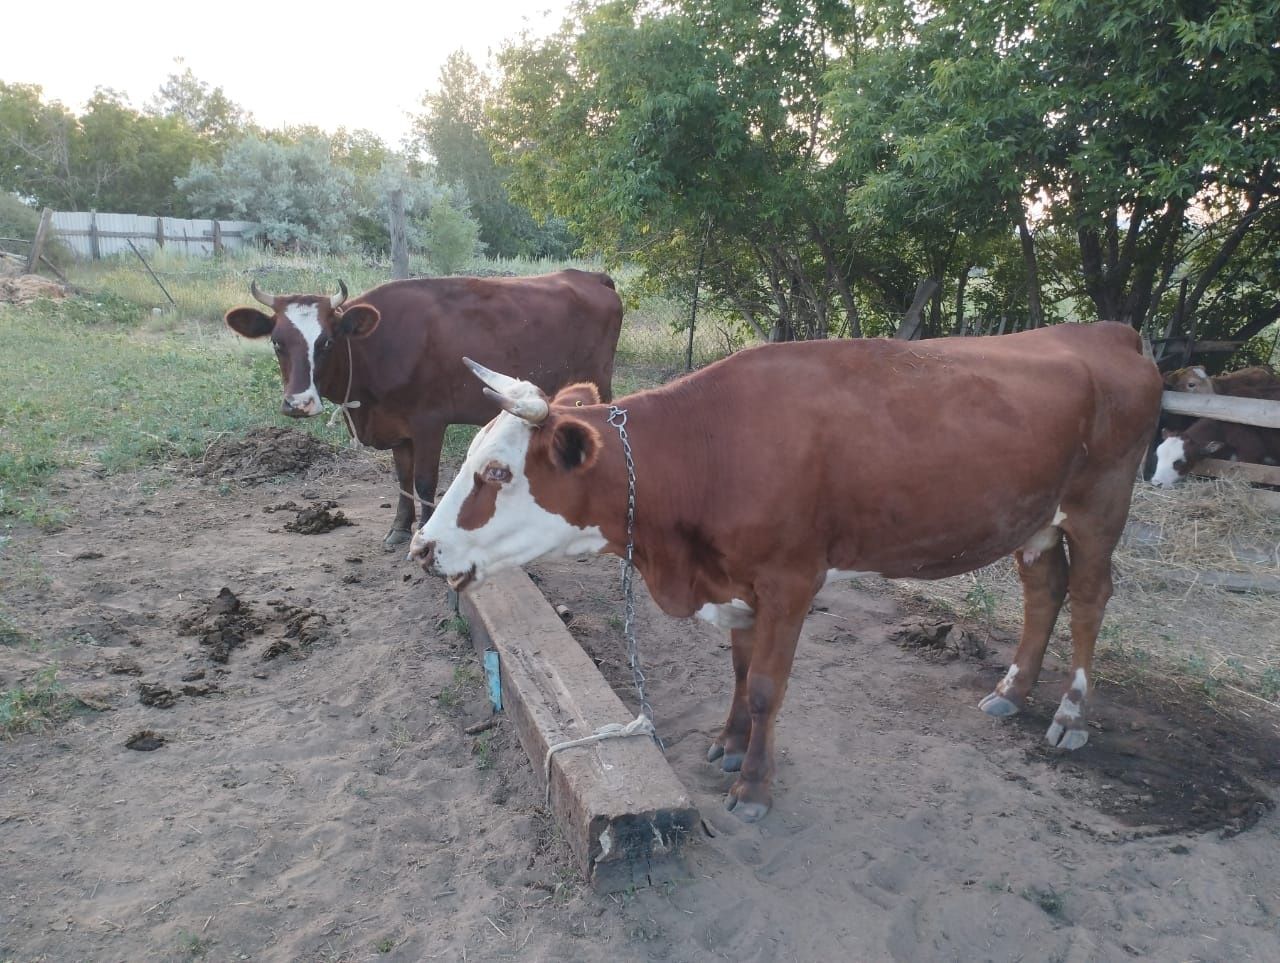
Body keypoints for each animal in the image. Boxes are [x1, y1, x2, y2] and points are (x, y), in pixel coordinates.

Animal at [225, 268, 624, 548]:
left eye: (326, 342)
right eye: (277, 343)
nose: (299, 403)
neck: (377, 348)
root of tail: (588, 276)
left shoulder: (429, 422)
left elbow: (424, 480)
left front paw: (423, 533)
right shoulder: (396, 426)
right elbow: (402, 478)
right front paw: (399, 529)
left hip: (599, 381)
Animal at [407, 321, 1162, 819]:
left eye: (497, 472)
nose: (422, 547)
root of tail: (1107, 330)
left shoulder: (792, 579)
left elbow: (769, 687)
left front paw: (754, 785)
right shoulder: (736, 580)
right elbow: (741, 672)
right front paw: (728, 743)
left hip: (1100, 504)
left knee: (1090, 595)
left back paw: (1069, 714)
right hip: (1035, 520)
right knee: (1044, 590)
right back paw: (1012, 689)